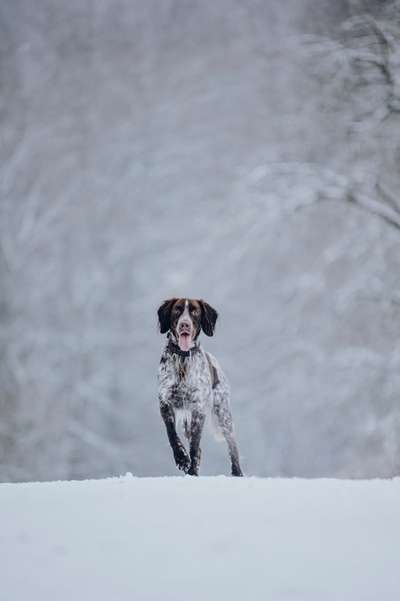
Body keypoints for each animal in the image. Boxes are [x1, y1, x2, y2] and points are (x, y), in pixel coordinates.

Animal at [158, 298, 242, 476]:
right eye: (177, 309)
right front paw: (182, 459)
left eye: (195, 311)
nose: (185, 324)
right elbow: (172, 435)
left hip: (223, 414)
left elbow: (195, 447)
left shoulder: (198, 409)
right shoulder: (165, 403)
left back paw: (237, 473)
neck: (182, 360)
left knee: (233, 445)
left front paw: (191, 471)